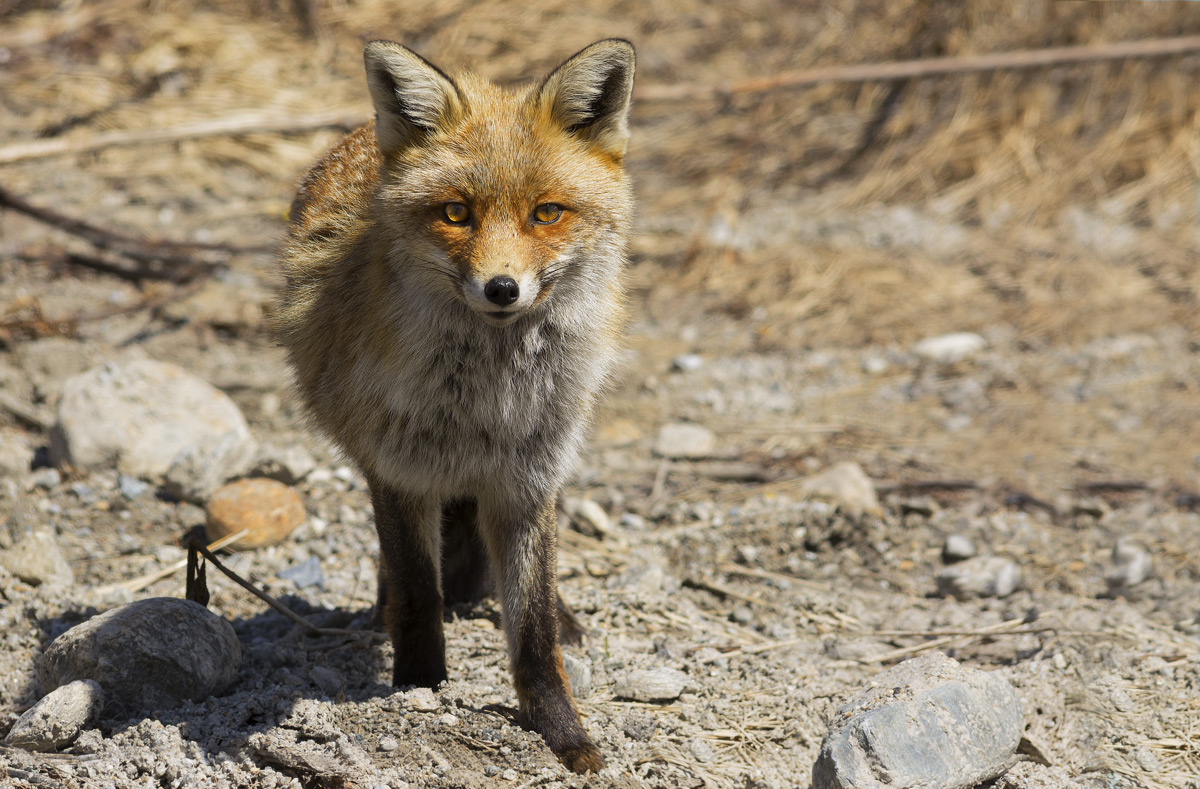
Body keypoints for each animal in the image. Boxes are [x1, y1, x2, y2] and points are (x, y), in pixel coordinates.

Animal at [272, 39, 636, 772]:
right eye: (456, 213)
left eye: (547, 213)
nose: (501, 288)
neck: (485, 407)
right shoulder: (399, 469)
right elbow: (418, 594)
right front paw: (417, 689)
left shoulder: (530, 477)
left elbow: (534, 629)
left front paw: (564, 733)